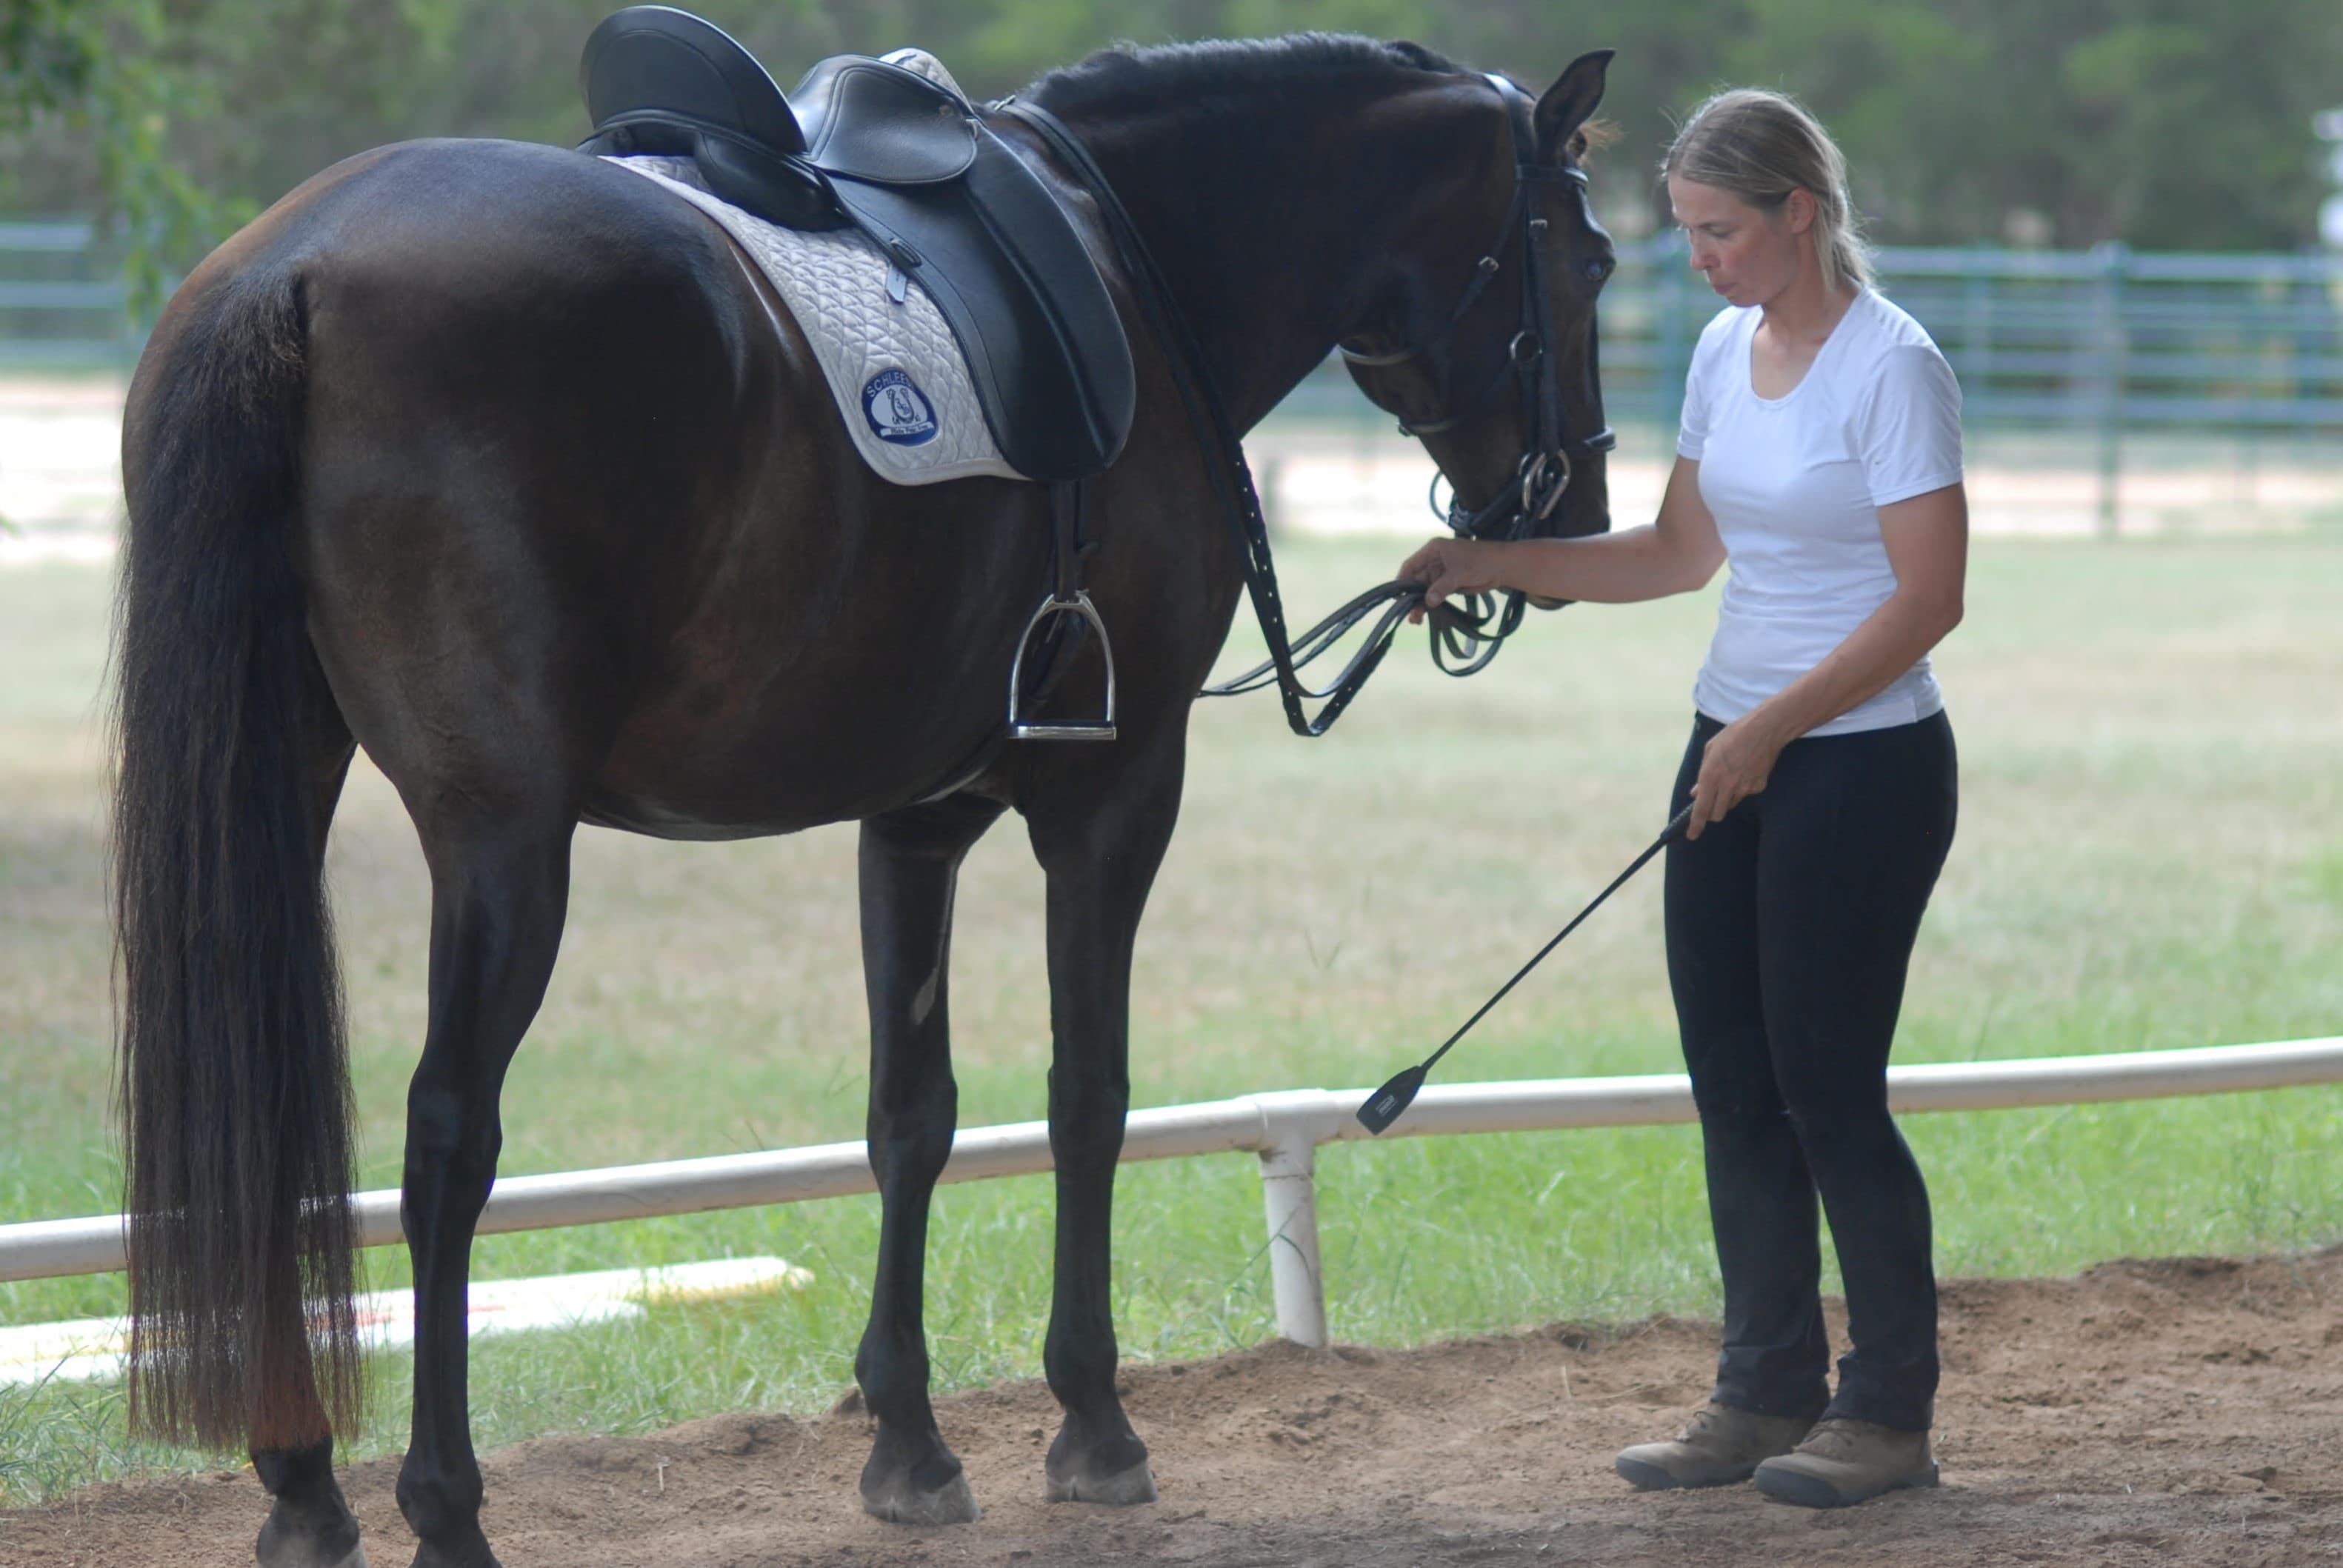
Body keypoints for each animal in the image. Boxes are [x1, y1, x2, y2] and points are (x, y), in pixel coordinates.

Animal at [111, 31, 1617, 1568]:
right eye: (1592, 259)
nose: (1572, 515)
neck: (1131, 268)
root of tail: (295, 266)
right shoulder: (1117, 794)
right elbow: (1087, 1095)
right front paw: (1093, 1422)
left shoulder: (911, 820)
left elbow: (913, 1113)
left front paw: (908, 1440)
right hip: (503, 839)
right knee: (444, 1139)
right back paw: (444, 1507)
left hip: (285, 790)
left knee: (274, 1135)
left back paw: (305, 1487)